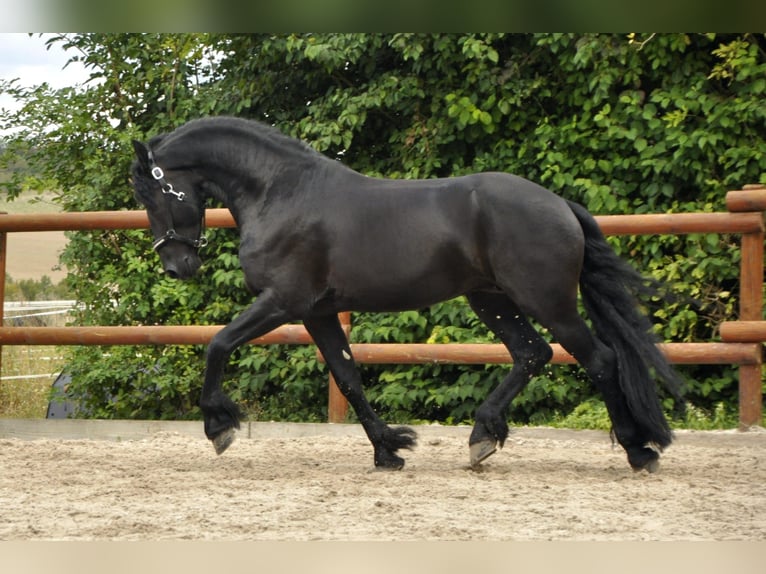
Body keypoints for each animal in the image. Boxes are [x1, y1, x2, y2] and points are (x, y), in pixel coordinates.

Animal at [130, 116, 684, 472]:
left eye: (151, 192)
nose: (177, 266)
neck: (279, 191)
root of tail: (560, 204)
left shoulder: (282, 301)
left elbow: (218, 344)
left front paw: (218, 427)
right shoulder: (318, 313)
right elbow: (349, 377)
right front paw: (389, 449)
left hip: (547, 301)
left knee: (600, 359)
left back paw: (638, 451)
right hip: (492, 300)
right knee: (533, 353)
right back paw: (483, 437)